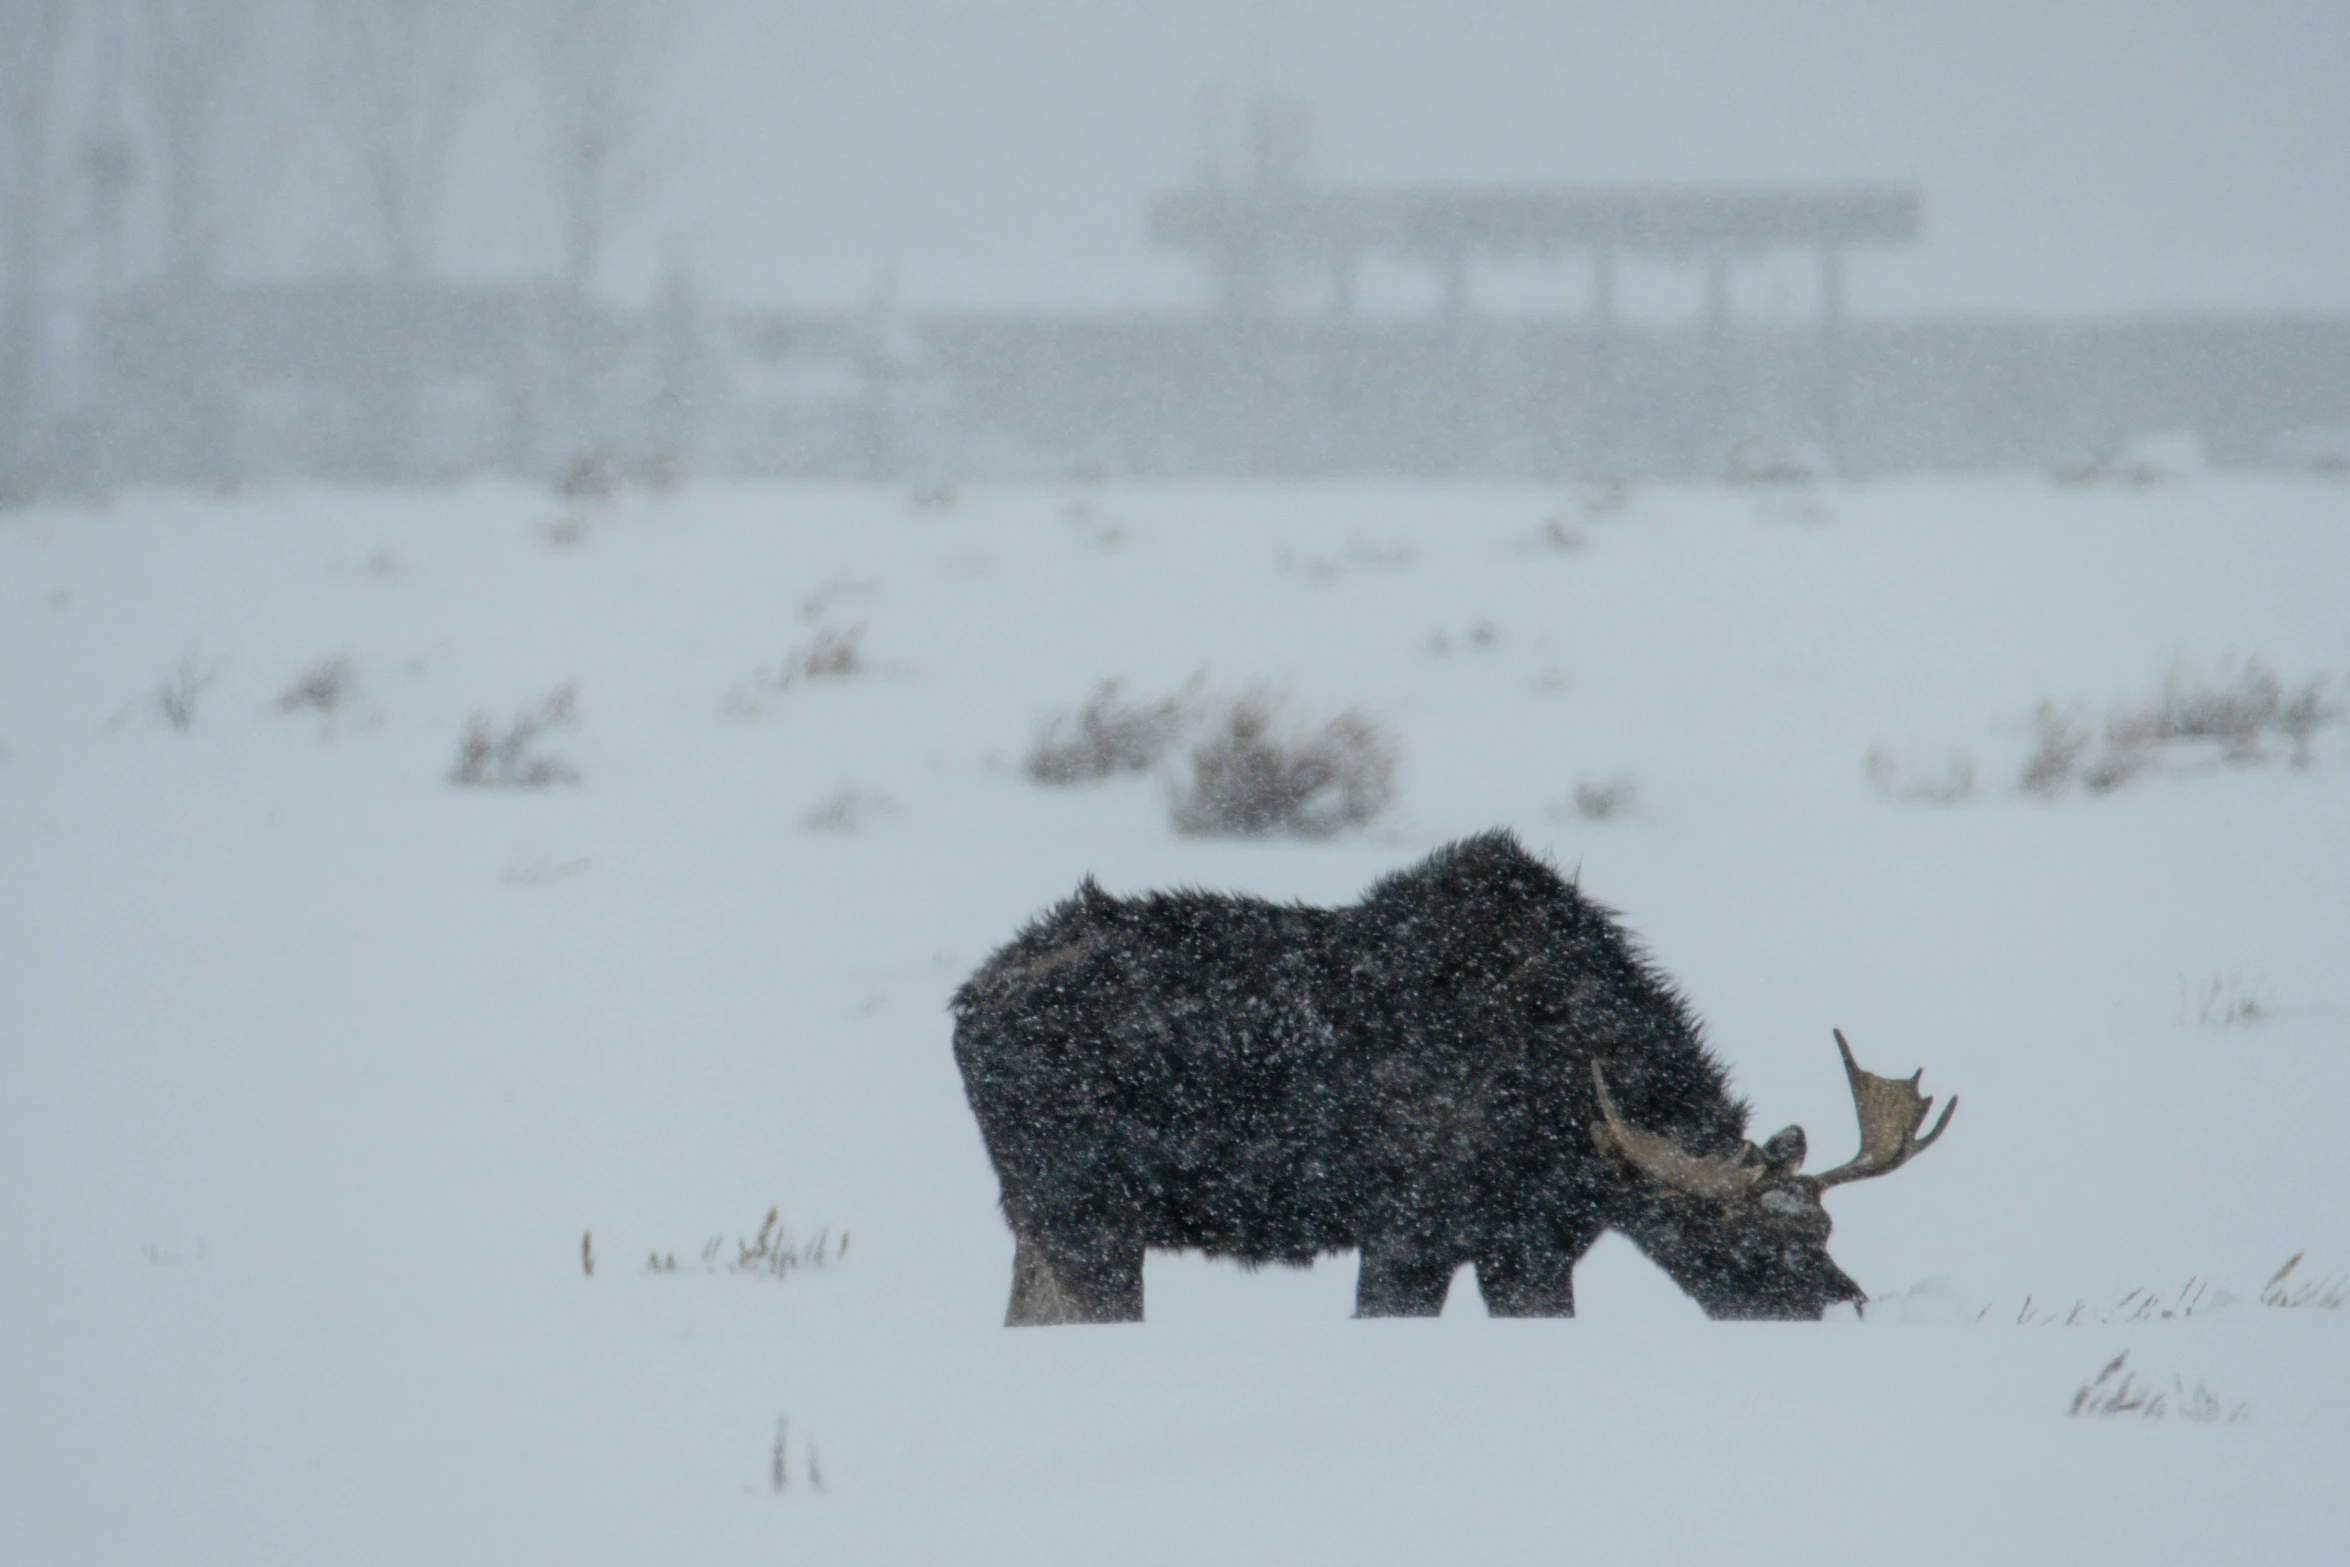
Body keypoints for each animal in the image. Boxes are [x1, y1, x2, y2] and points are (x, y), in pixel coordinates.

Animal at [944, 831, 1955, 1325]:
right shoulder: (1409, 1230)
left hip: (1042, 1223)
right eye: (1747, 1243)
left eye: (1823, 1228)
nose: (1844, 1307)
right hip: (1083, 1215)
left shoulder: (1528, 1246)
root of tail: (964, 1003)